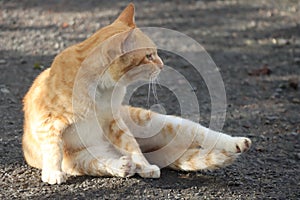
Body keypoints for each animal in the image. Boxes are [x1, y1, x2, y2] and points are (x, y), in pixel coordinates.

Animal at [22, 3, 251, 184]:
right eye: (149, 56)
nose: (162, 64)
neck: (100, 89)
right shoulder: (47, 121)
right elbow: (53, 148)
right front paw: (53, 173)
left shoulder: (114, 122)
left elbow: (132, 146)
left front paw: (145, 165)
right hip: (80, 159)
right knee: (102, 163)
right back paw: (123, 166)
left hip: (164, 122)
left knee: (203, 133)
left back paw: (237, 143)